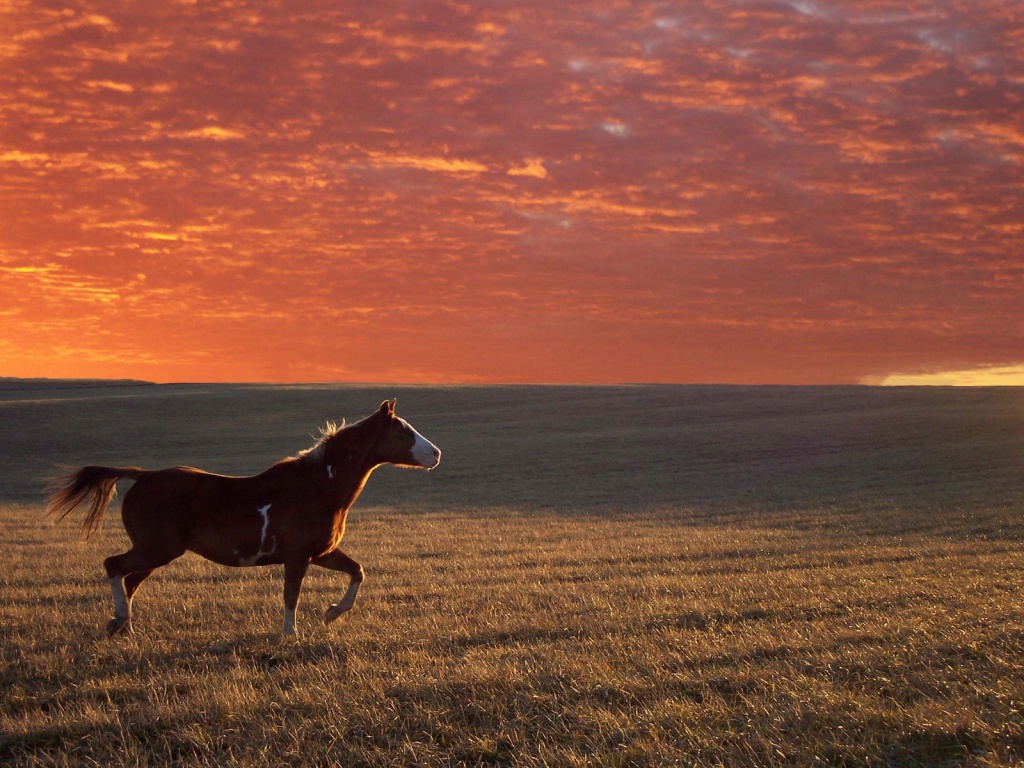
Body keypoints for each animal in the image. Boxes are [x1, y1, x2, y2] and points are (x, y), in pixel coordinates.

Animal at [45, 399, 440, 638]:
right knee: (114, 566)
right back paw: (119, 620)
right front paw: (290, 635)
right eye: (403, 431)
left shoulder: (322, 553)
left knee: (129, 581)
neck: (319, 487)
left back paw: (124, 626)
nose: (436, 453)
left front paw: (331, 613)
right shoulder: (298, 557)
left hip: (158, 552)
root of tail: (142, 476)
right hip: (156, 549)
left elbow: (357, 571)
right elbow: (291, 595)